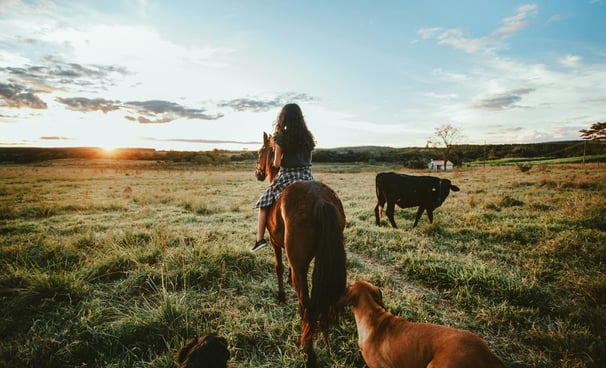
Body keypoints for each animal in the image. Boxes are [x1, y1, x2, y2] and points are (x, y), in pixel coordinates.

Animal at [255, 132, 350, 368]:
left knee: (307, 303)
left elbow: (278, 267)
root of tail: (321, 201)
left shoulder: (275, 243)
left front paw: (281, 295)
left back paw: (309, 351)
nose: (258, 172)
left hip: (300, 261)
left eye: (260, 152)